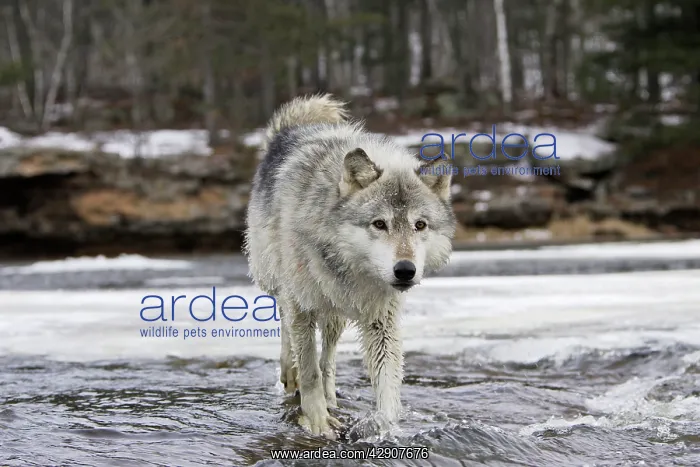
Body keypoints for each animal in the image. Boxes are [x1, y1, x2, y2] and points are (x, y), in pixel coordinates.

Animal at [244, 94, 456, 439]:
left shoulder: (381, 321)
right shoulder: (301, 305)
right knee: (287, 329)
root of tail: (293, 127)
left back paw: (331, 394)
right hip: (279, 281)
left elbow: (386, 385)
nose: (405, 270)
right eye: (379, 224)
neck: (350, 269)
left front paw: (383, 427)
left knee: (328, 356)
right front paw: (317, 421)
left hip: (335, 315)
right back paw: (291, 374)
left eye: (420, 225)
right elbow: (308, 369)